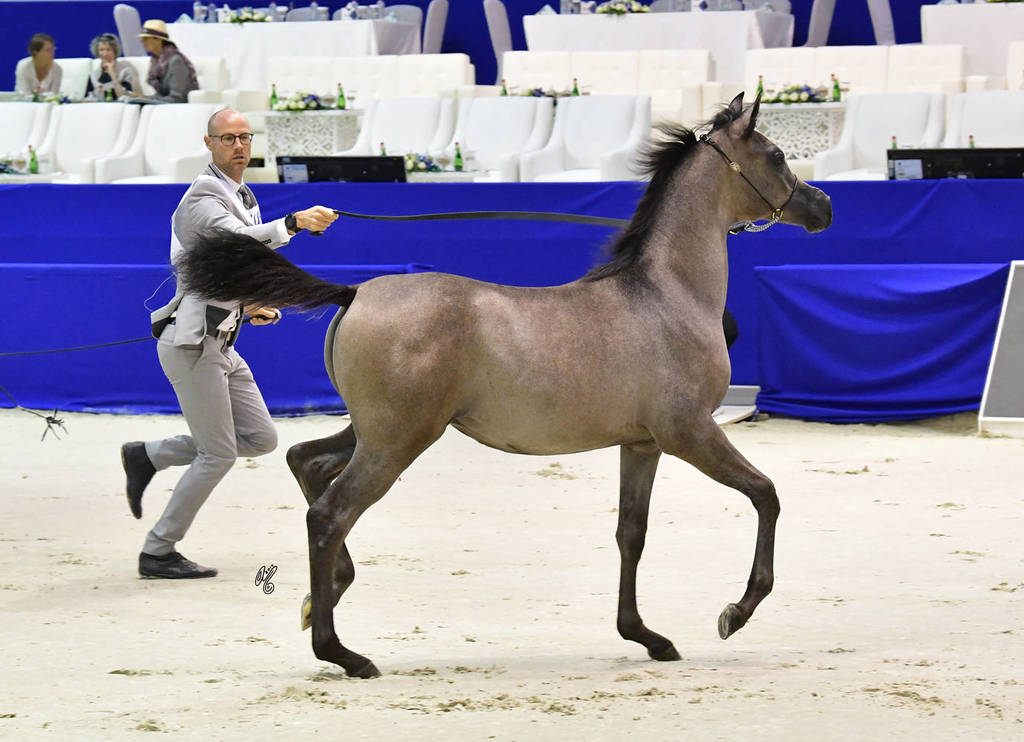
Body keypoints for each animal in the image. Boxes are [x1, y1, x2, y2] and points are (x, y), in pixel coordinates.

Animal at [179, 93, 833, 678]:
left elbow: (631, 533)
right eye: (776, 155)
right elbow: (766, 494)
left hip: (377, 431)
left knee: (307, 463)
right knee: (329, 514)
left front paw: (647, 637)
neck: (665, 296)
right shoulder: (690, 433)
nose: (822, 206)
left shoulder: (642, 443)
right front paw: (735, 613)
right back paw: (344, 653)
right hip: (397, 441)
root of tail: (354, 291)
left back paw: (327, 595)